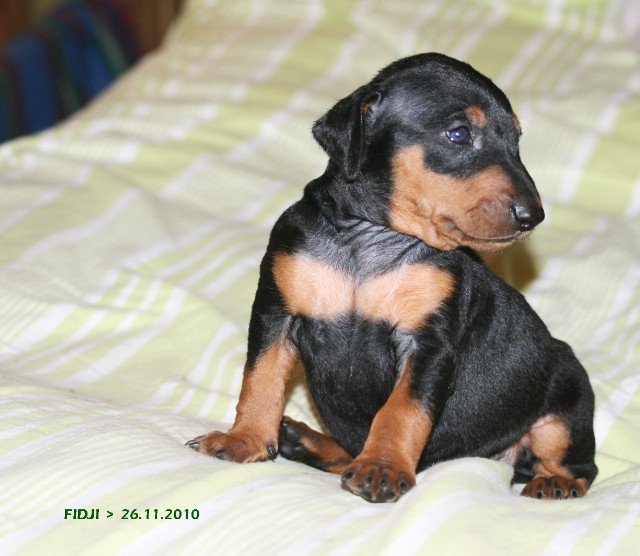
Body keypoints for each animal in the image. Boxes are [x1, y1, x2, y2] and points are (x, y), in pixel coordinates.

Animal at [187, 53, 597, 503]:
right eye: (458, 134)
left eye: (517, 141)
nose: (533, 215)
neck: (371, 237)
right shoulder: (276, 312)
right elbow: (259, 380)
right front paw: (243, 440)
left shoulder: (429, 344)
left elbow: (402, 411)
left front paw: (382, 468)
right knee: (345, 450)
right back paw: (304, 440)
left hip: (567, 399)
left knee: (580, 465)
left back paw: (555, 481)